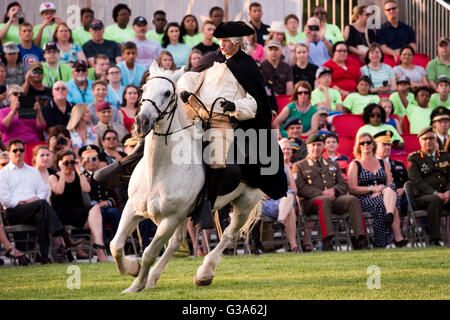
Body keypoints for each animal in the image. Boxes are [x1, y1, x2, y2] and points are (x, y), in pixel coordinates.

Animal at [109, 61, 262, 294]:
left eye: (167, 93)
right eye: (144, 89)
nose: (142, 122)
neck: (158, 171)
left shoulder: (170, 219)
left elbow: (149, 253)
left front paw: (137, 284)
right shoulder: (133, 209)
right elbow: (116, 246)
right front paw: (133, 270)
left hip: (244, 204)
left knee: (228, 235)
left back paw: (204, 274)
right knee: (177, 241)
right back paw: (154, 278)